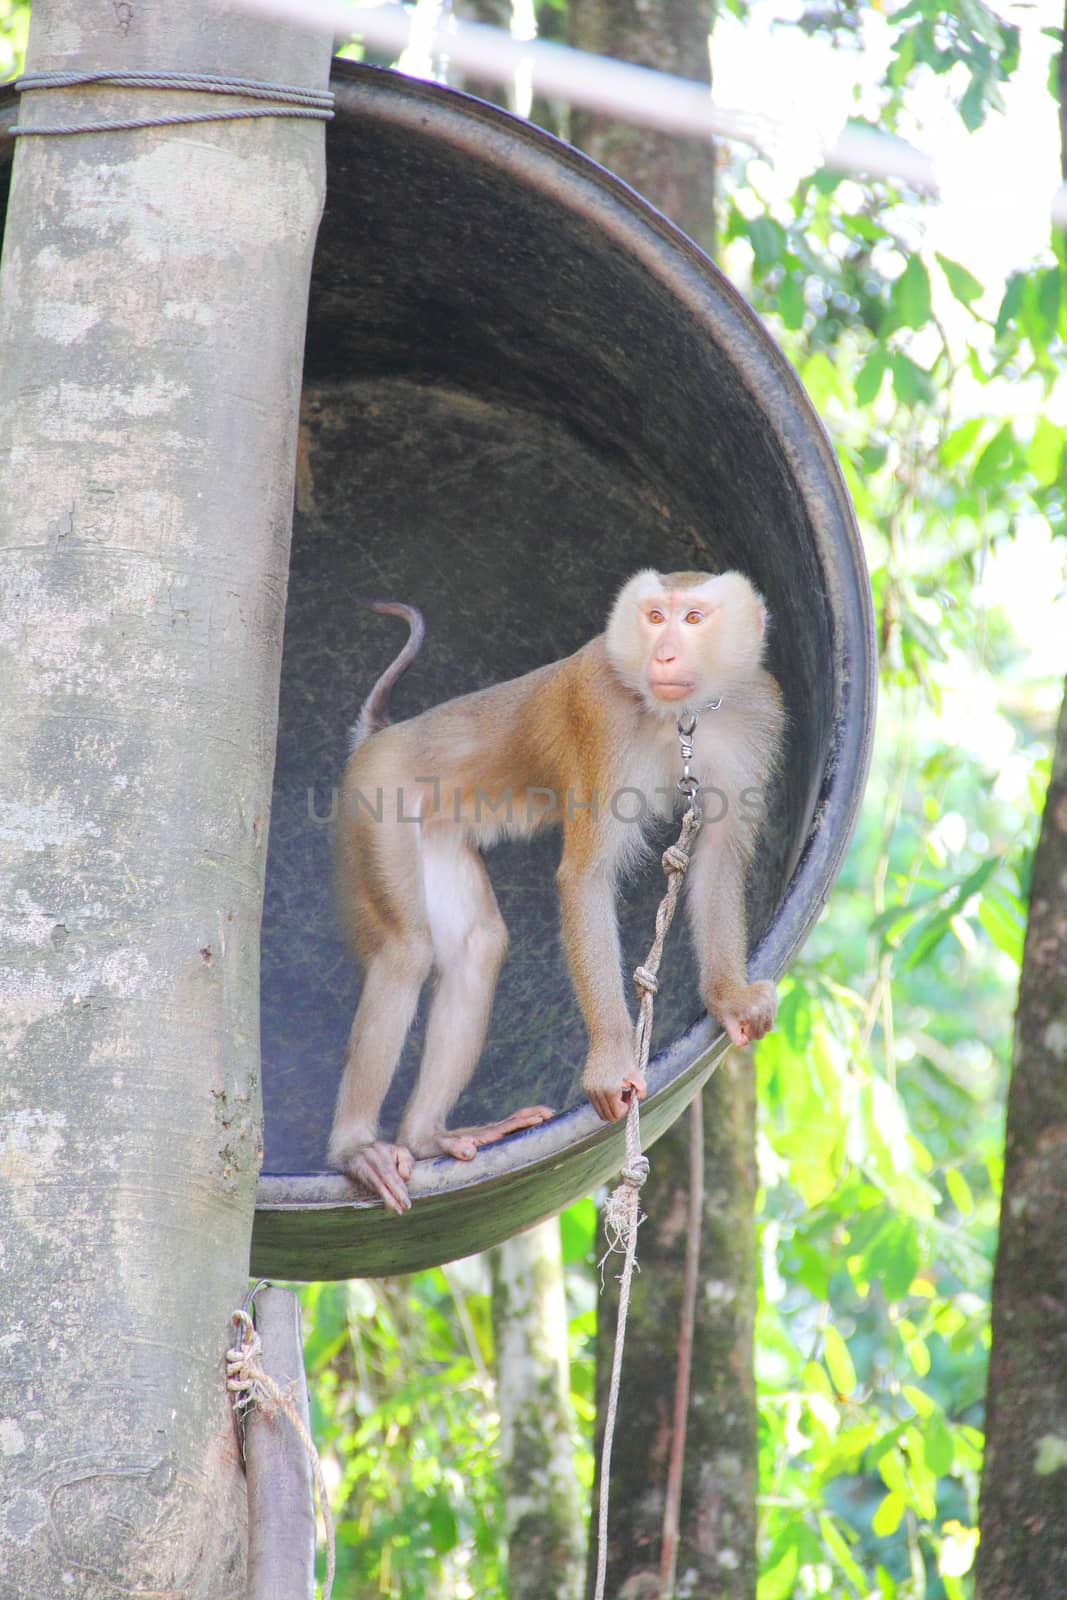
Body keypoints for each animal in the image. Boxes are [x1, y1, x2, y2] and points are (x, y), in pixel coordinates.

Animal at [329, 569, 790, 1203]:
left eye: (693, 618)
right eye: (655, 616)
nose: (665, 653)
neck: (681, 720)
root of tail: (382, 736)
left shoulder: (755, 711)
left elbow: (719, 858)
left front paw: (728, 1000)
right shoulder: (601, 713)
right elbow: (585, 876)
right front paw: (610, 1064)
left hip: (436, 832)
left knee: (477, 946)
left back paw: (427, 1138)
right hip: (376, 803)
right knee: (405, 952)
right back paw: (355, 1149)